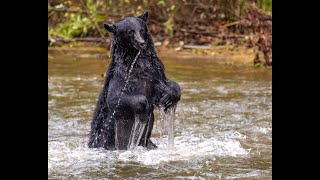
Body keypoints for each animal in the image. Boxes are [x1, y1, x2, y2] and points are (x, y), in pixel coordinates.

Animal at [89, 10, 181, 150]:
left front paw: (168, 96)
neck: (137, 60)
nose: (141, 42)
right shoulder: (122, 76)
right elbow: (115, 98)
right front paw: (144, 111)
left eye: (142, 30)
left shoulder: (154, 73)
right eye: (129, 31)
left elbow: (167, 84)